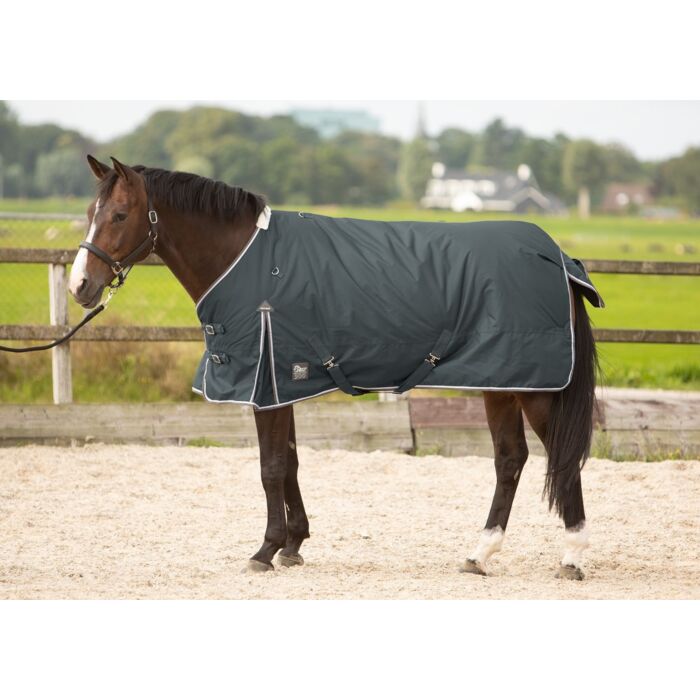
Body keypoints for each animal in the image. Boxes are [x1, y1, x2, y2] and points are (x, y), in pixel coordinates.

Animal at [69, 155, 599, 580]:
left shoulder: (267, 383)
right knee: (510, 459)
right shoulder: (281, 382)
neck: (245, 260)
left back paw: (571, 558)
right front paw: (293, 545)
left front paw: (264, 551)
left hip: (534, 388)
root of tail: (556, 256)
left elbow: (270, 467)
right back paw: (479, 554)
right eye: (91, 214)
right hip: (502, 382)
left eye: (119, 215)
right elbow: (290, 463)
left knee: (560, 458)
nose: (80, 287)